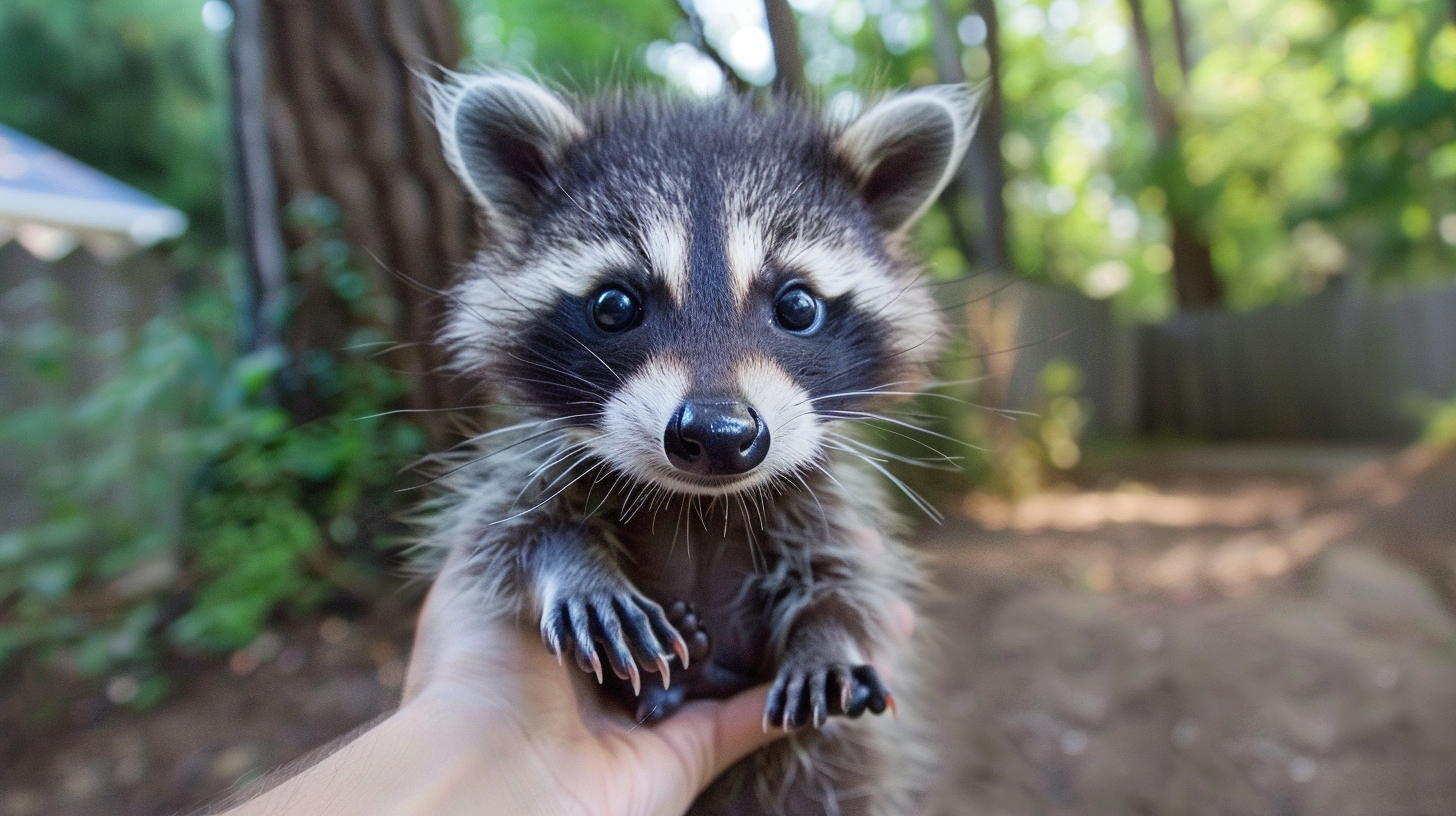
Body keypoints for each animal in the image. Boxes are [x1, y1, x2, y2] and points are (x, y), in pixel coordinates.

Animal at [425, 71, 984, 816]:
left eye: (798, 305)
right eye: (614, 306)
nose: (719, 435)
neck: (698, 502)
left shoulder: (827, 489)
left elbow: (846, 571)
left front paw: (828, 631)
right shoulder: (532, 455)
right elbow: (508, 525)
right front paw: (573, 563)